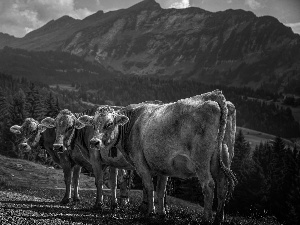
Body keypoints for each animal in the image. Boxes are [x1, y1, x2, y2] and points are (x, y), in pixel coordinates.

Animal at [76, 90, 238, 225]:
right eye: (93, 124)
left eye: (109, 124)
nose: (94, 142)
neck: (132, 124)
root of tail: (214, 95)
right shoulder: (163, 166)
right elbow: (160, 190)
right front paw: (161, 213)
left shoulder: (140, 163)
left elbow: (148, 187)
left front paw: (150, 212)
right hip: (222, 158)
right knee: (222, 185)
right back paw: (219, 218)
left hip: (201, 161)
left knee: (209, 185)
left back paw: (206, 219)